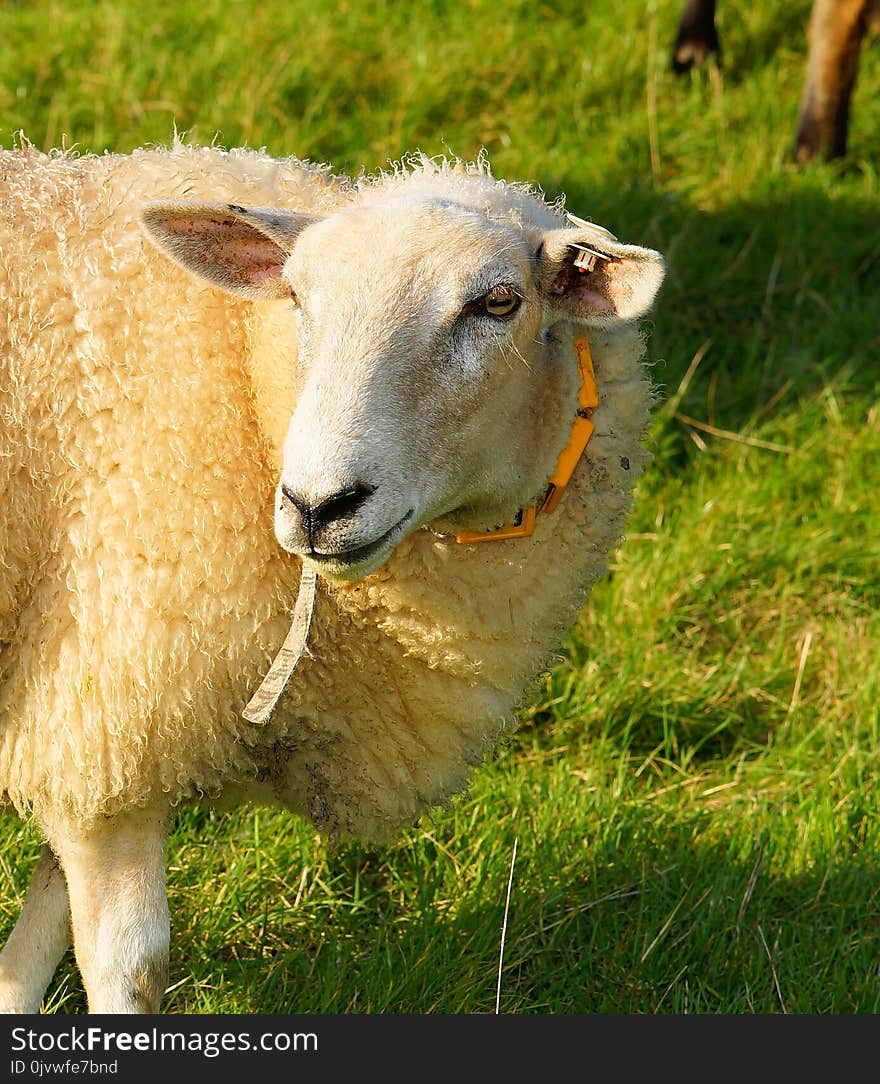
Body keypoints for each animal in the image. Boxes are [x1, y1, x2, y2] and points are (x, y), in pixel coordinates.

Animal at [0, 139, 658, 1010]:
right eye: (299, 298)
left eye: (499, 302)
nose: (319, 505)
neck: (250, 394)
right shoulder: (108, 709)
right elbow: (127, 965)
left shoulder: (89, 729)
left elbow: (33, 943)